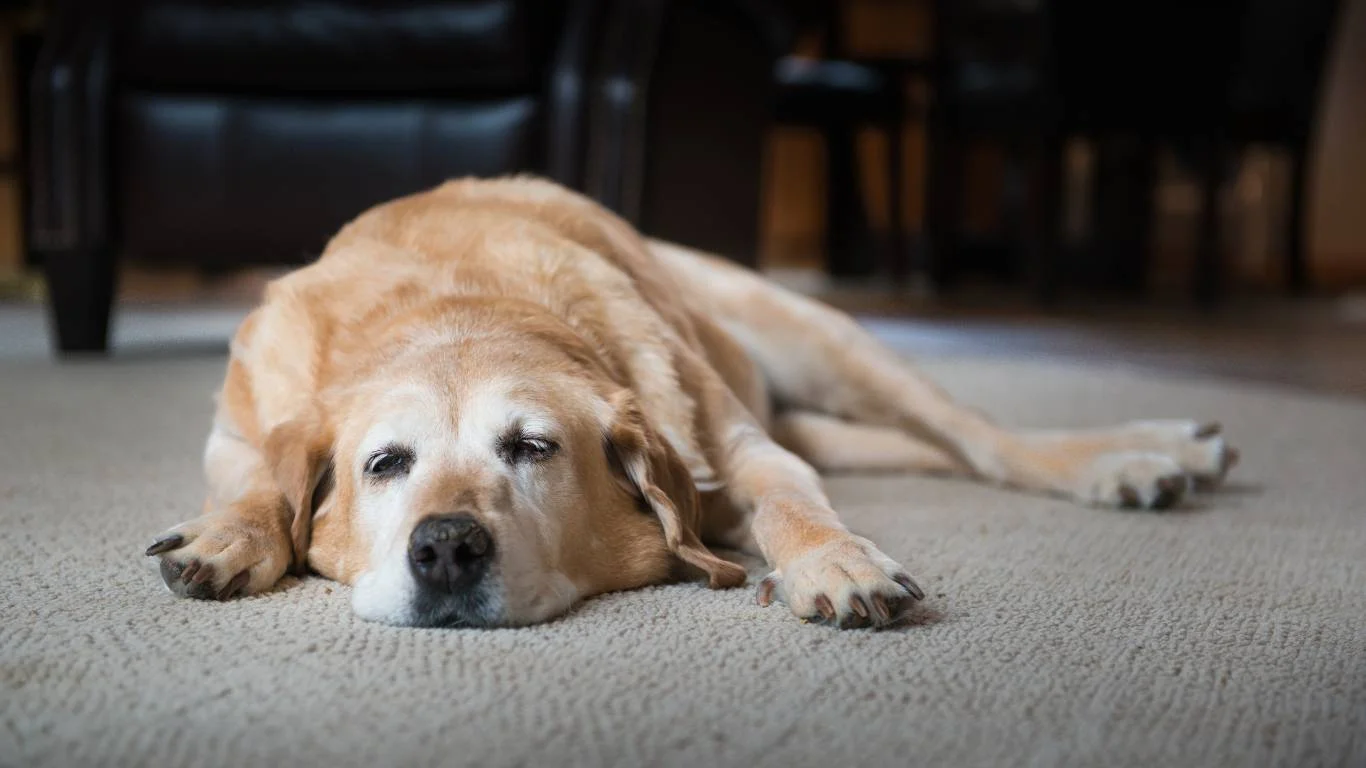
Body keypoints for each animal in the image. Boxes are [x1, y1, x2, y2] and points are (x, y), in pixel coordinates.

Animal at [144, 174, 1245, 628]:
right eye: (385, 464)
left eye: (532, 448)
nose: (446, 548)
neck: (456, 304)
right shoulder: (235, 430)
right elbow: (259, 485)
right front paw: (228, 538)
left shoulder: (740, 448)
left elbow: (790, 502)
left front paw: (835, 563)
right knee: (925, 451)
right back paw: (1170, 451)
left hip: (824, 340)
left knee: (980, 441)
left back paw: (1132, 457)